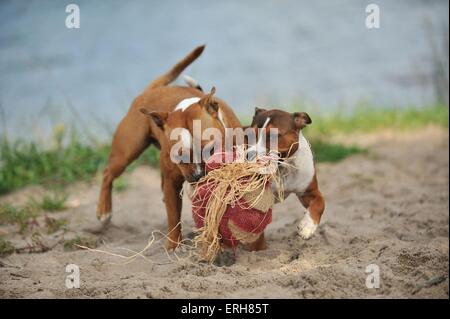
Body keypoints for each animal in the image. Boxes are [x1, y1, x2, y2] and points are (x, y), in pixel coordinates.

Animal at [96, 45, 241, 250]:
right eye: (180, 156)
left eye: (211, 150)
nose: (199, 175)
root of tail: (151, 90)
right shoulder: (172, 182)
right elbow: (173, 216)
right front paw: (173, 245)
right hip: (127, 152)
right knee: (108, 173)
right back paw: (104, 210)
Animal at [248, 107, 326, 245]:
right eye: (250, 134)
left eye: (273, 135)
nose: (249, 155)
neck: (283, 168)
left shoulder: (309, 192)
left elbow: (320, 204)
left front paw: (307, 227)